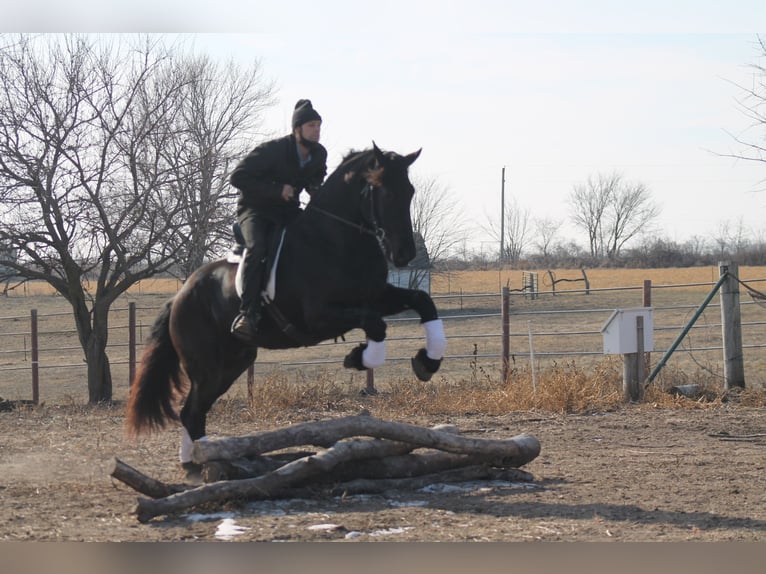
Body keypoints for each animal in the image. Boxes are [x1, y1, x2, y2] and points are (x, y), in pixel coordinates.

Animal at [127, 143, 450, 472]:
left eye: (409, 191)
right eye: (384, 192)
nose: (404, 254)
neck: (338, 238)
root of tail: (178, 296)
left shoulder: (377, 296)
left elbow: (422, 301)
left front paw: (428, 362)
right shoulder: (319, 317)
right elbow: (375, 323)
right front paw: (360, 357)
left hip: (233, 362)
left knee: (195, 410)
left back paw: (202, 460)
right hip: (208, 366)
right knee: (192, 412)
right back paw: (205, 463)